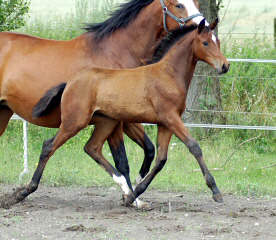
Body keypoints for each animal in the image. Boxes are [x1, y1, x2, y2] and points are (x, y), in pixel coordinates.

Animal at [33, 19, 230, 205]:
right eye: (205, 43)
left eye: (218, 41)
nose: (225, 66)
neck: (168, 74)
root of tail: (70, 82)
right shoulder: (170, 118)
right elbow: (194, 146)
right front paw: (215, 191)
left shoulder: (165, 124)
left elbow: (161, 159)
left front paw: (135, 194)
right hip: (74, 122)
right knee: (49, 146)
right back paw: (27, 189)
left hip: (106, 123)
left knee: (92, 148)